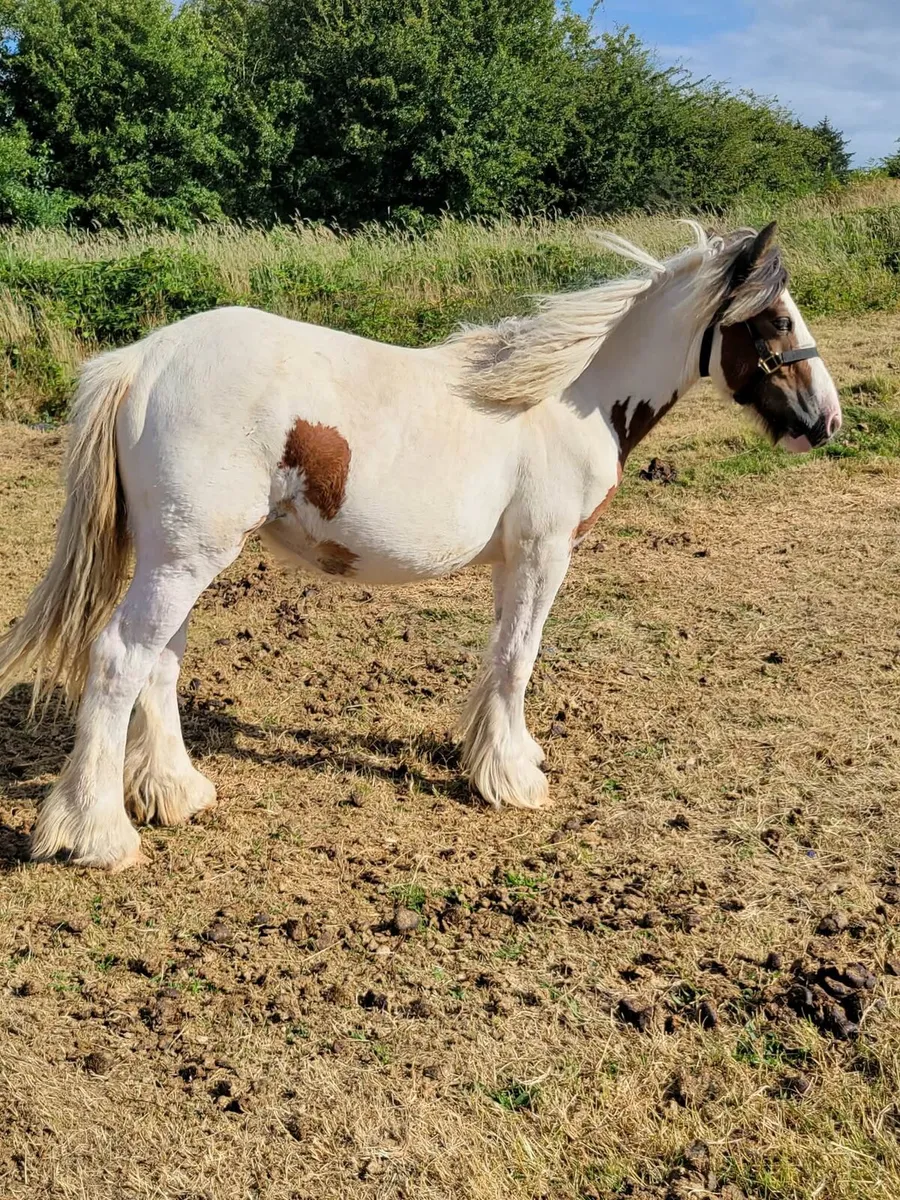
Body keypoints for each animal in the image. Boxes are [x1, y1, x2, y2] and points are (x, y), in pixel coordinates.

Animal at [0, 220, 842, 870]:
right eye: (774, 320)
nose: (826, 421)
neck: (567, 401)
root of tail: (141, 360)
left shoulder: (514, 562)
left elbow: (501, 657)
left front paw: (502, 757)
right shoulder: (545, 554)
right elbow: (518, 658)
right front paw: (513, 782)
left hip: (184, 557)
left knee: (160, 663)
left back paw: (177, 793)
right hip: (184, 560)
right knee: (120, 659)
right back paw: (97, 835)